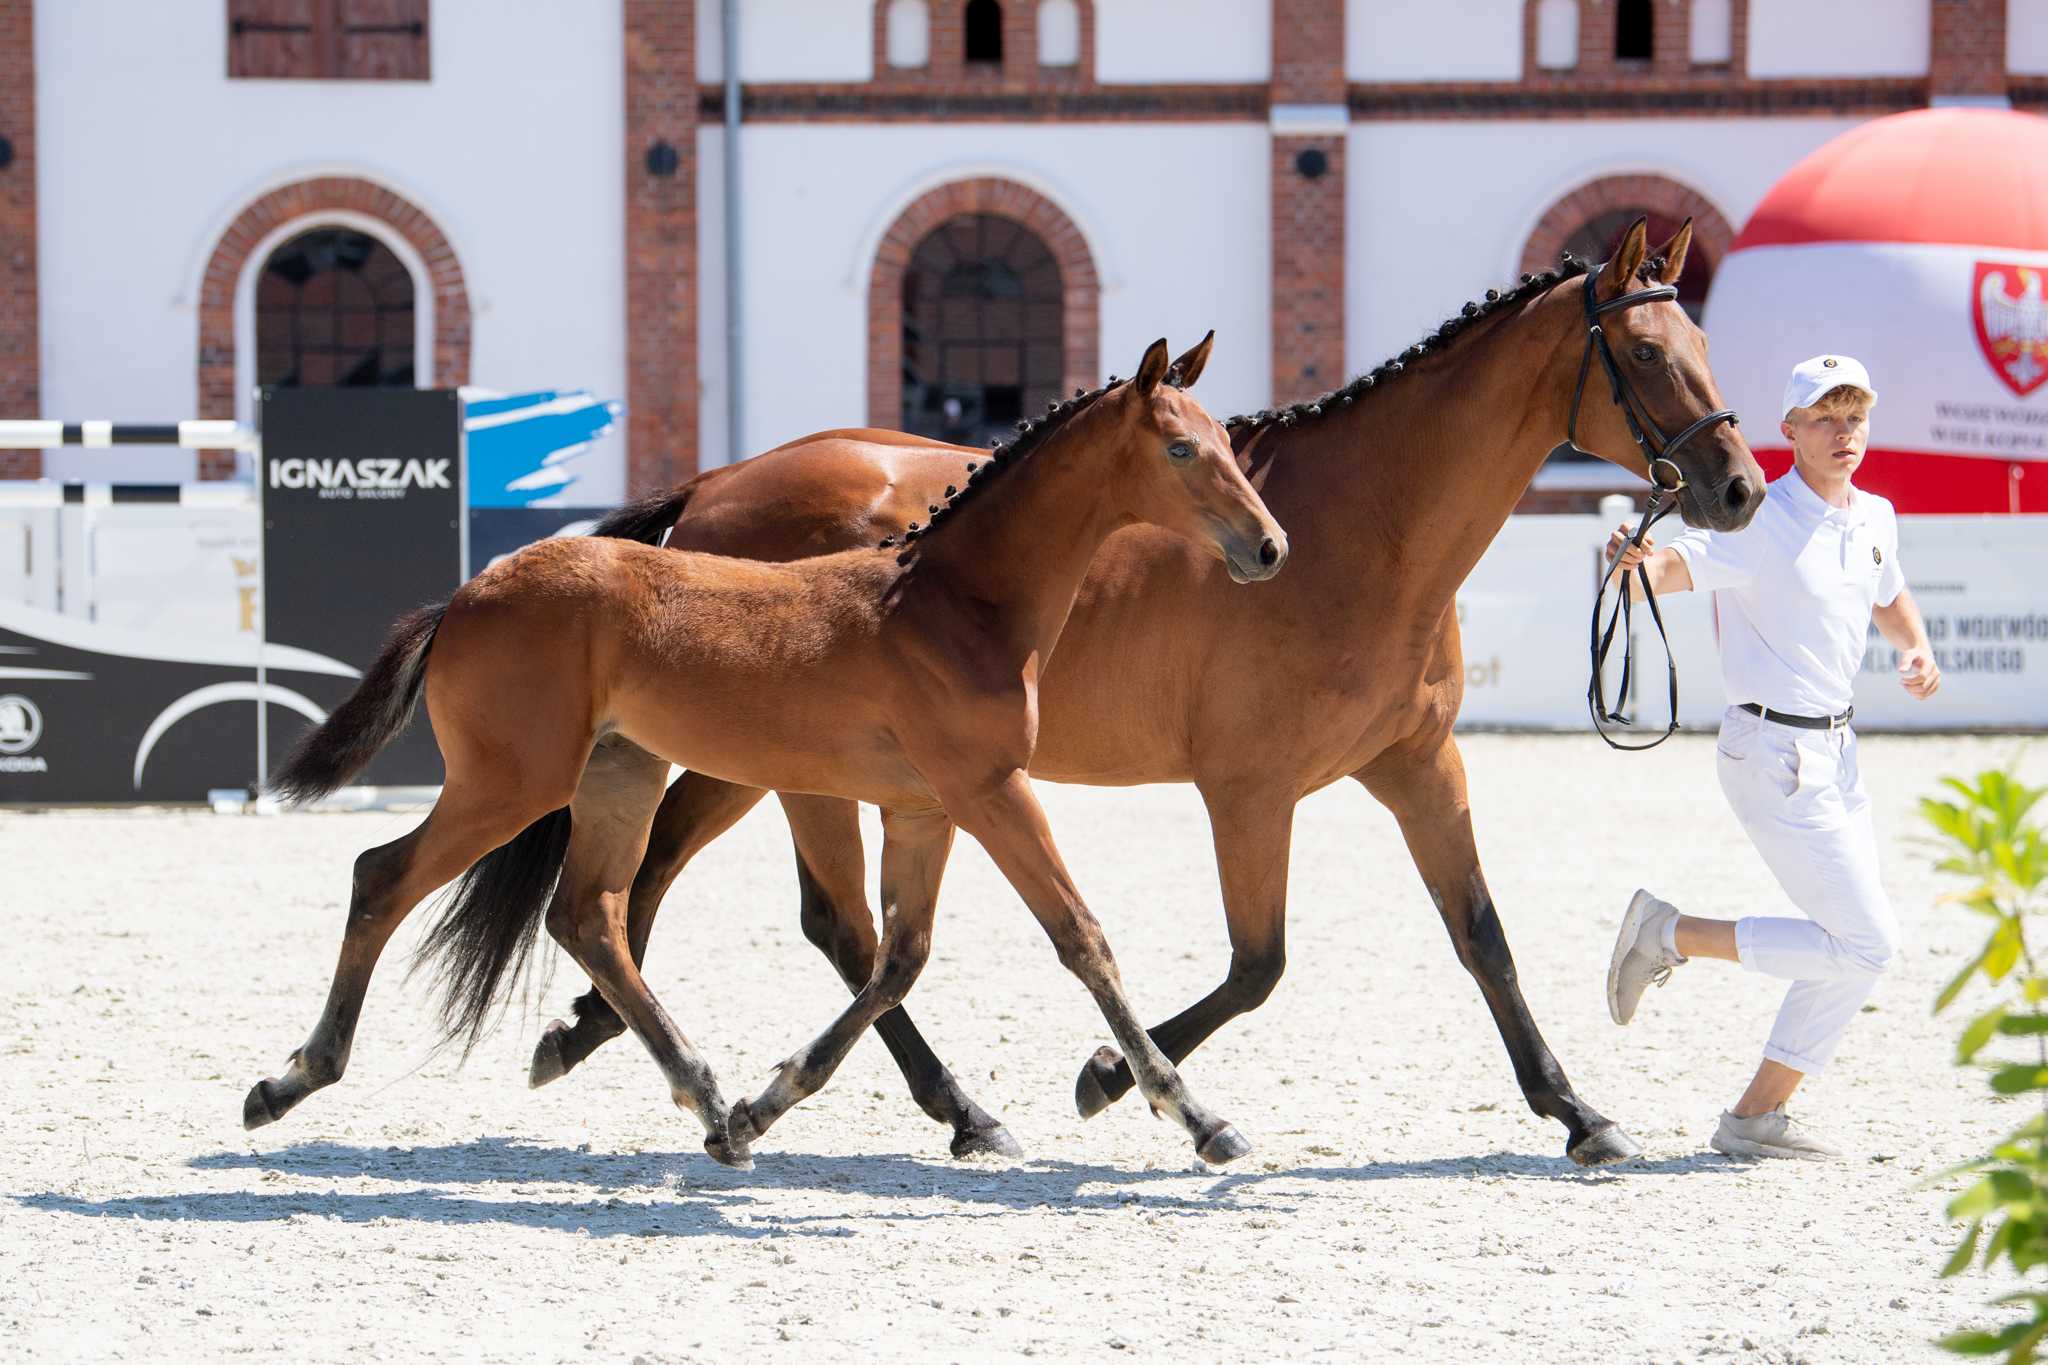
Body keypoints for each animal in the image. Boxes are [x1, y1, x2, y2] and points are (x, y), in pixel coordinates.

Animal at [242, 335, 1289, 1169]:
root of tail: (464, 593)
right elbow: (1081, 940)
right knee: (384, 876)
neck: (954, 606)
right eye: (1183, 448)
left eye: (1228, 442)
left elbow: (898, 957)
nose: (1271, 548)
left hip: (619, 776)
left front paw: (766, 1104)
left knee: (589, 917)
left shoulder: (927, 807)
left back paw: (708, 1101)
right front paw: (1194, 1114)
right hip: (515, 781)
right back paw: (291, 1079)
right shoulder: (993, 791)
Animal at [531, 220, 1767, 1168]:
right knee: (749, 901)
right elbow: (1257, 966)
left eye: (1707, 337)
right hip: (775, 764)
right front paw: (1111, 1079)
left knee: (777, 913)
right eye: (1646, 352)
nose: (1740, 489)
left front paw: (1578, 1113)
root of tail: (717, 483)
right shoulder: (1249, 790)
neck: (1359, 531)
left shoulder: (1419, 765)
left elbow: (1483, 940)